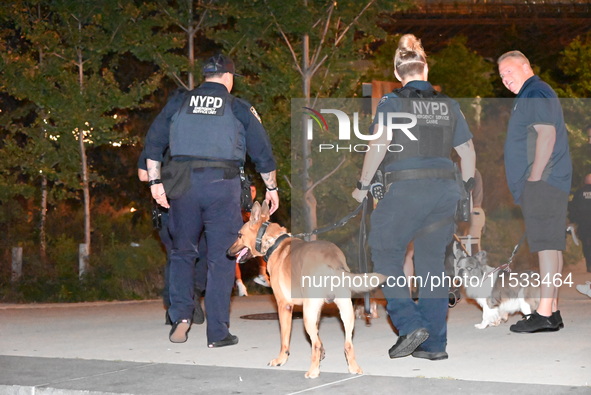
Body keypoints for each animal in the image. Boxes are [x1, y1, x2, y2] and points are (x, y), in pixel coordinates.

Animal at [225, 203, 384, 378]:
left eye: (239, 235)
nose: (227, 252)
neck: (274, 243)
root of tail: (332, 262)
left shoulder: (284, 306)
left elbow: (285, 339)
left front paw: (281, 359)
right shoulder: (317, 309)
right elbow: (319, 335)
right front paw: (321, 355)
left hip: (308, 314)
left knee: (315, 343)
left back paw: (313, 371)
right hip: (345, 311)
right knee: (347, 343)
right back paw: (353, 368)